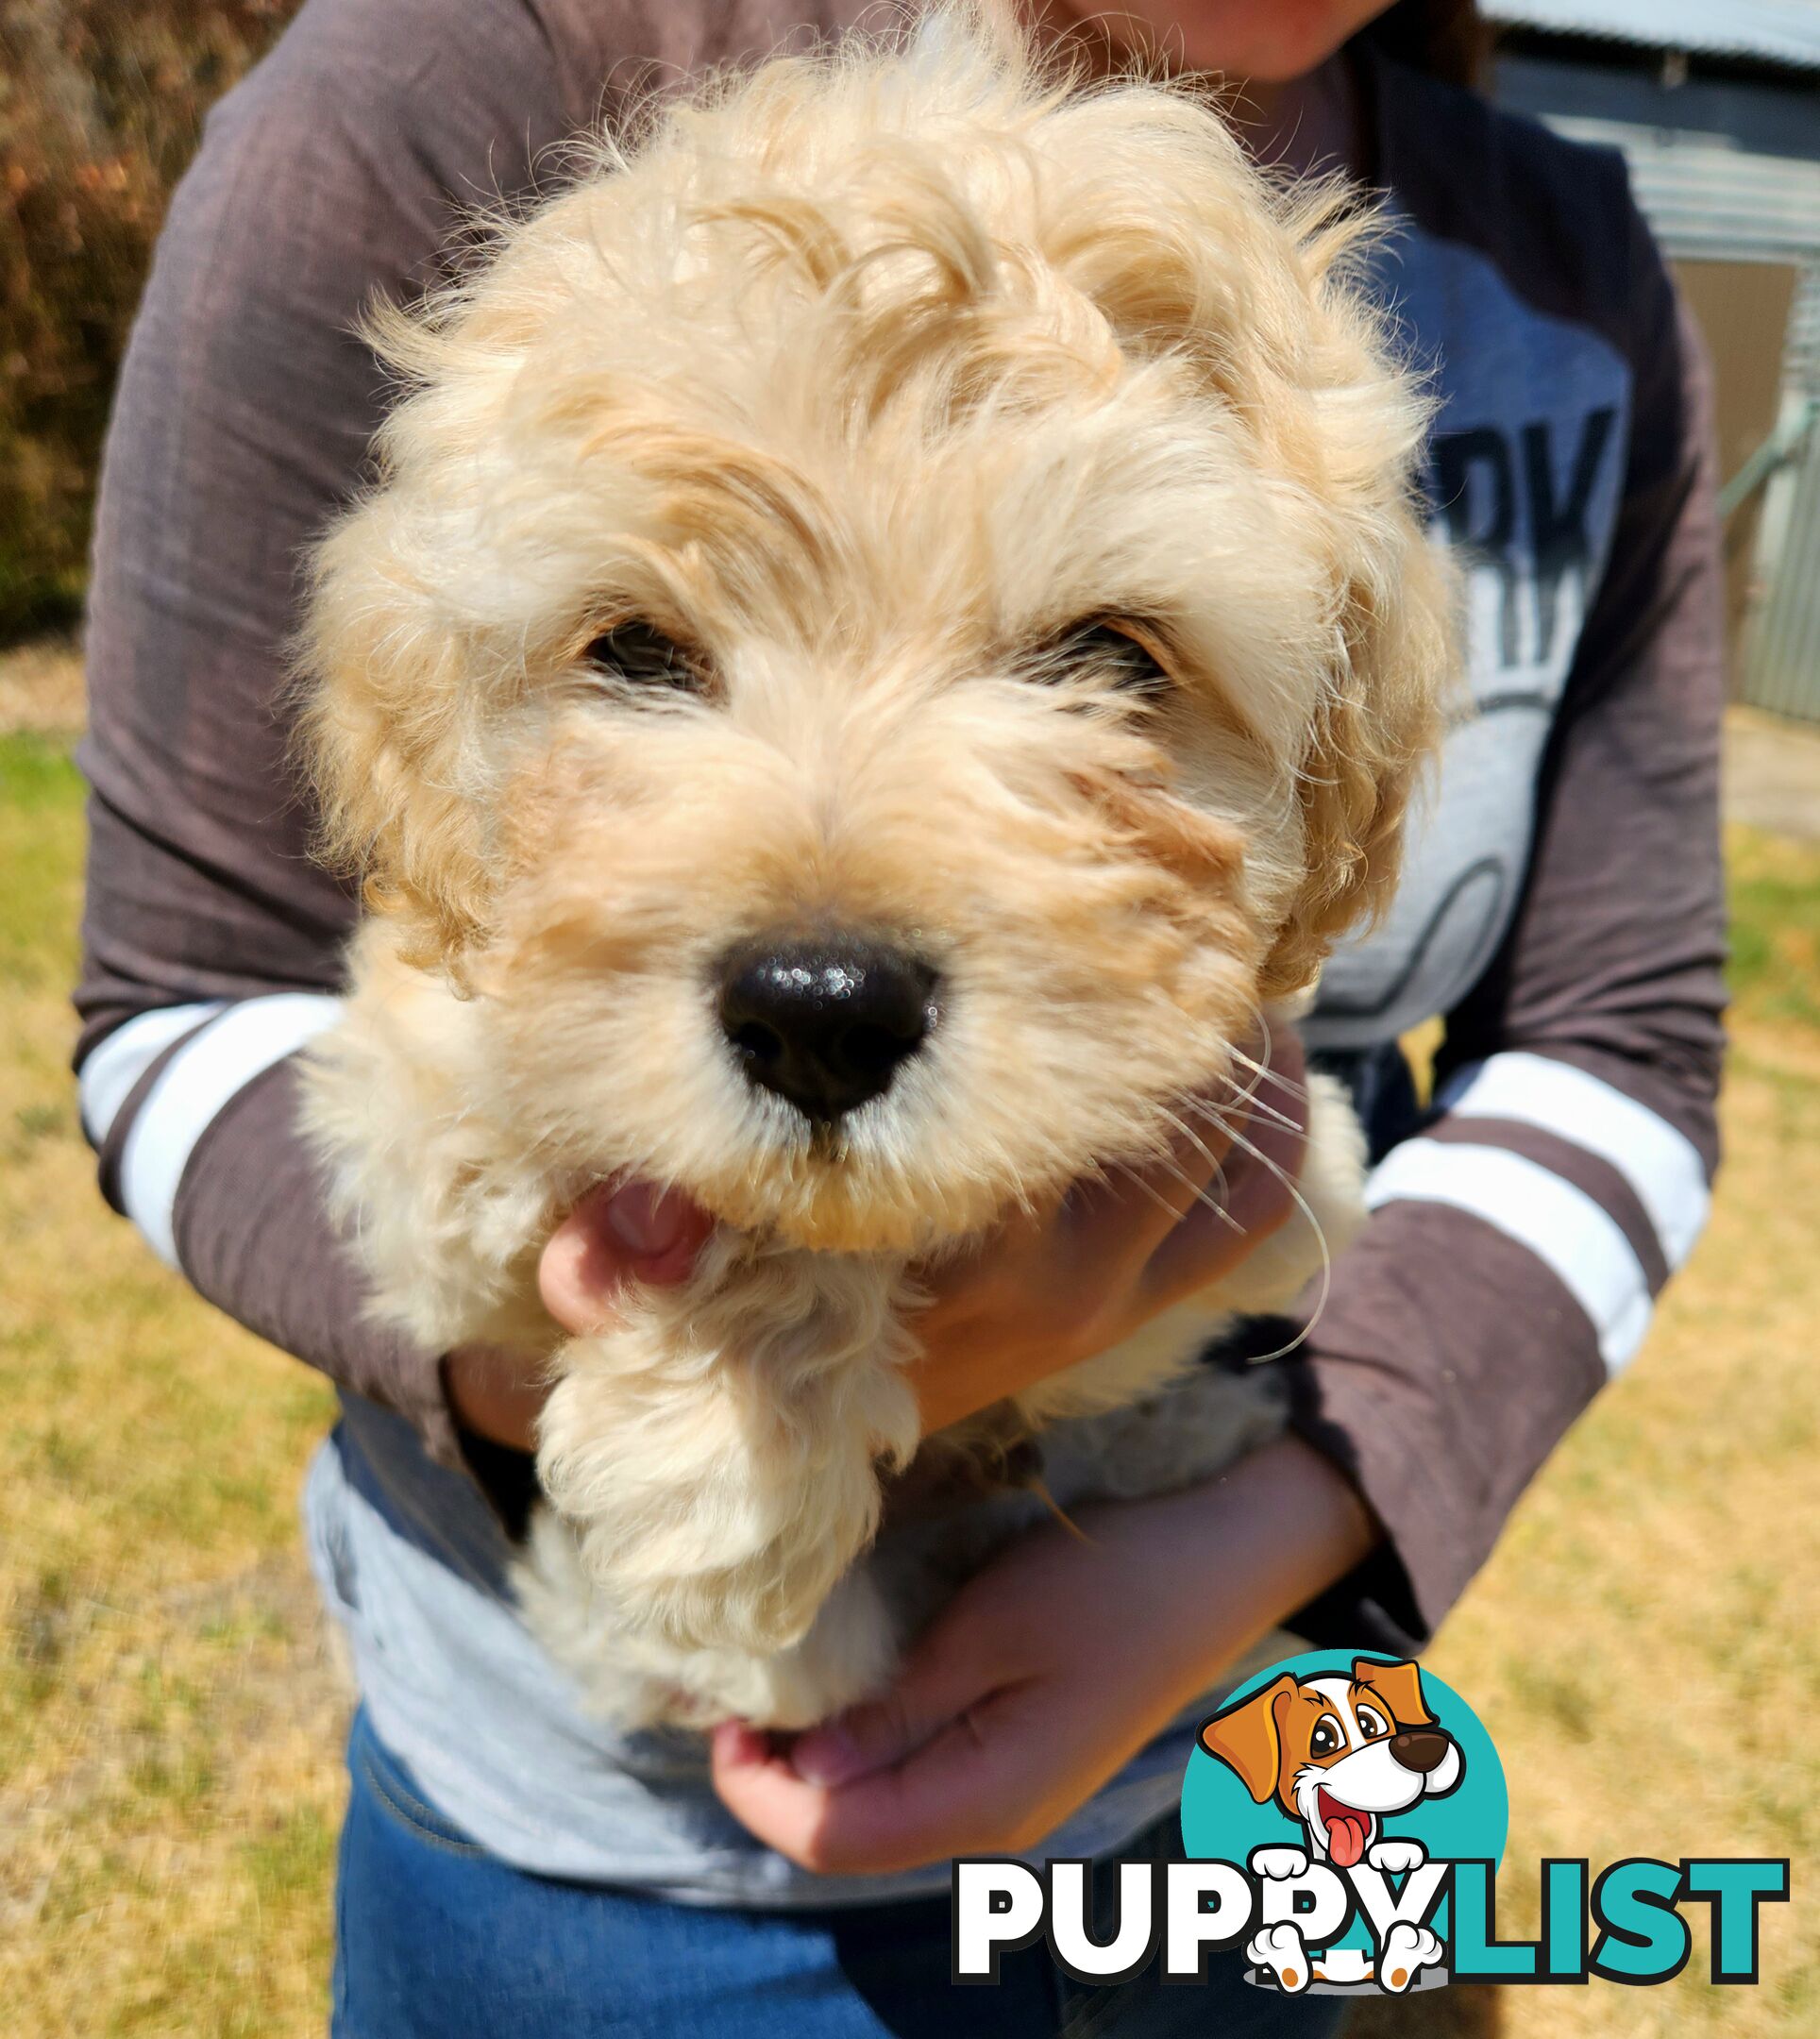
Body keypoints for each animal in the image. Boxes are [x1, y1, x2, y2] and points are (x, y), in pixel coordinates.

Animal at [305, 4, 1458, 1737]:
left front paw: (727, 1452)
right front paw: (720, 1468)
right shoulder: (402, 1092)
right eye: (635, 651)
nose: (817, 1011)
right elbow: (537, 1123)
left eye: (1108, 657)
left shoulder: (1280, 1160)